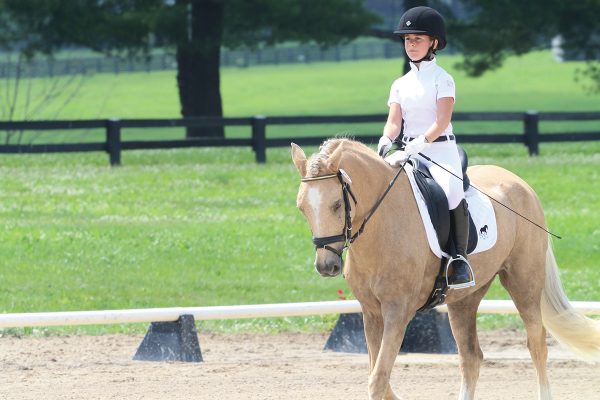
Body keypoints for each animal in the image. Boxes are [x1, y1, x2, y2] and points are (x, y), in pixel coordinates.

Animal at [290, 138, 600, 400]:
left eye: (336, 205)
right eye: (302, 207)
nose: (326, 265)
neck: (382, 224)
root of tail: (519, 183)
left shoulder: (398, 311)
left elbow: (377, 379)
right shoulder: (371, 312)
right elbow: (378, 376)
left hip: (524, 283)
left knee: (537, 346)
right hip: (464, 299)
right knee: (471, 357)